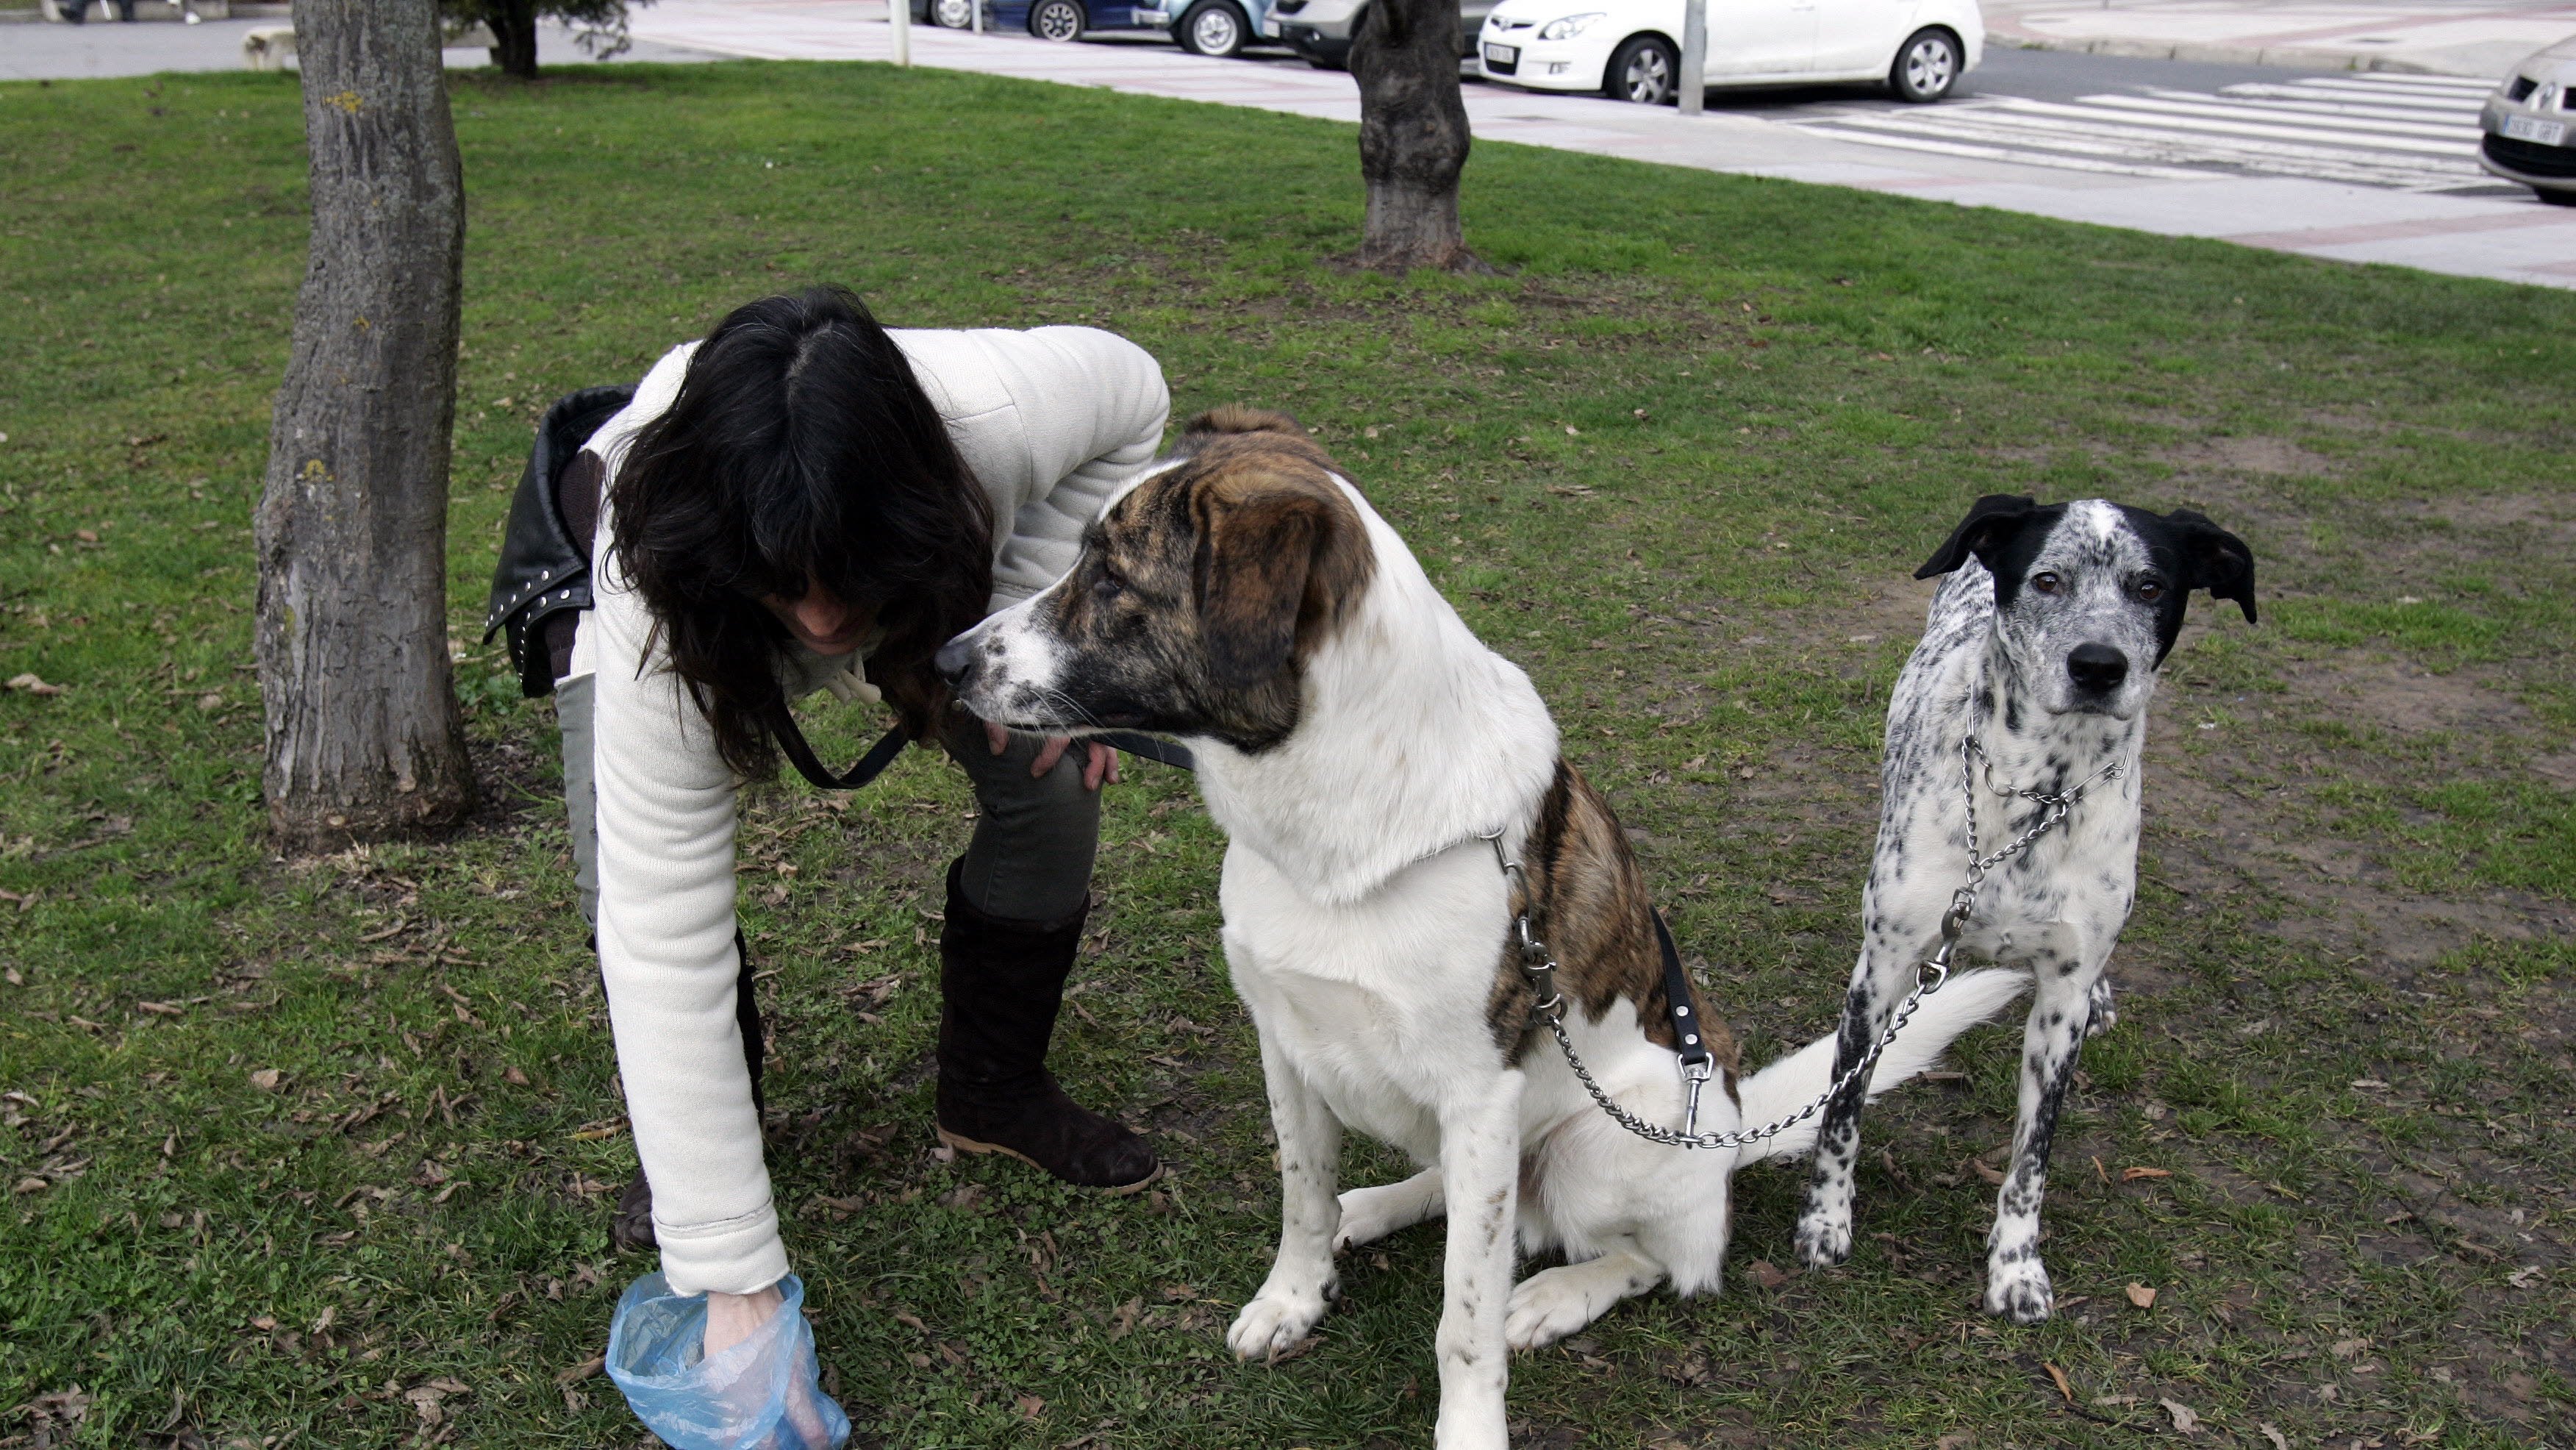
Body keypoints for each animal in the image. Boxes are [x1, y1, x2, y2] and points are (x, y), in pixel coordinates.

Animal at [942, 412, 2030, 1450]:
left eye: (1111, 576)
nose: (947, 659)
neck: (1332, 818)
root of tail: (1728, 1127)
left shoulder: (1481, 1093)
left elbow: (1463, 1320)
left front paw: (1471, 1425)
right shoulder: (1286, 1046)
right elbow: (1301, 1196)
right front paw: (1294, 1296)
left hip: (1601, 1141)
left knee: (1662, 1258)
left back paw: (1553, 1294)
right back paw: (1376, 1206)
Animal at [1792, 497, 2256, 1329]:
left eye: (2150, 586)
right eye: (2047, 579)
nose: (2099, 665)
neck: (2039, 790)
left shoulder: (2059, 1004)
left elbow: (2032, 1157)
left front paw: (2016, 1268)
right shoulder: (1879, 973)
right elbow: (1843, 1111)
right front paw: (1826, 1221)